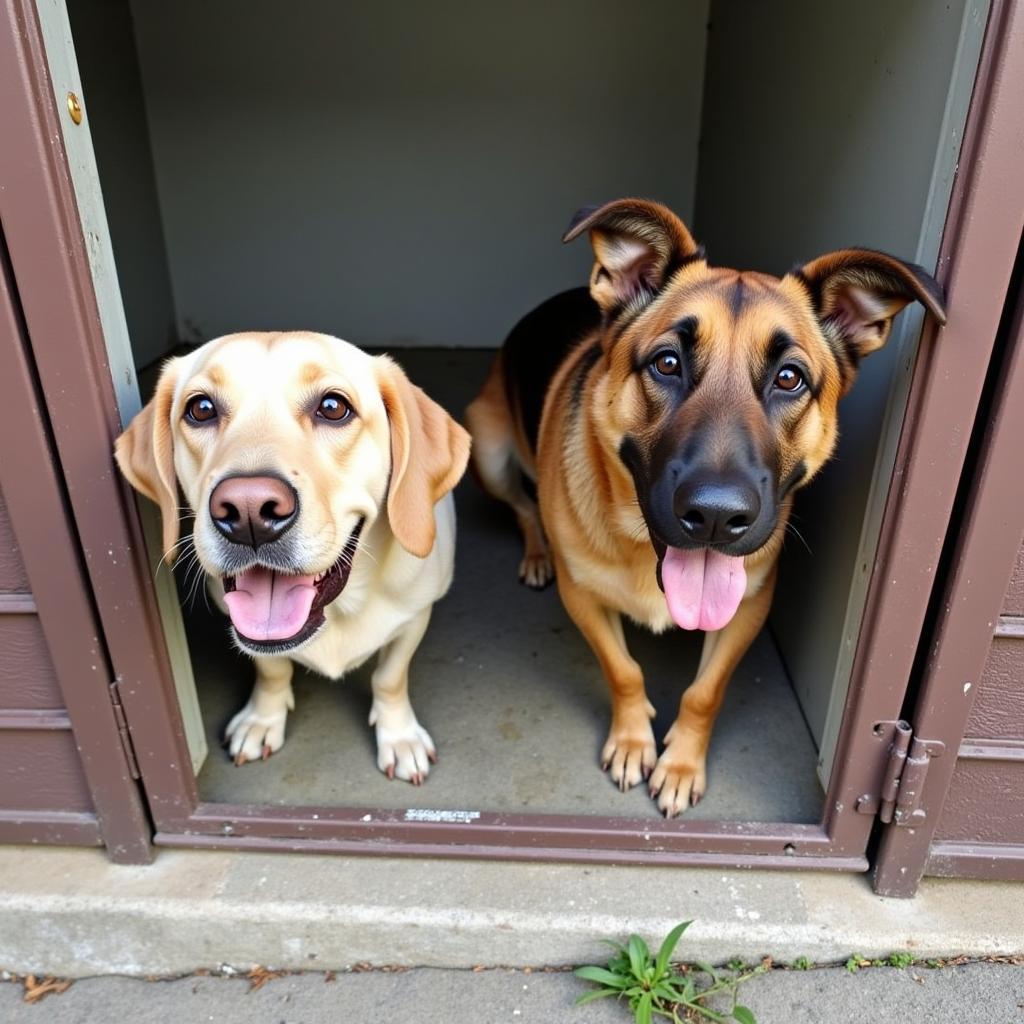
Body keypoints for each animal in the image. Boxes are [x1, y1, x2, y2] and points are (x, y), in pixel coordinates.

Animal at [115, 331, 468, 778]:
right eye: (201, 408)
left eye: (333, 407)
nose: (248, 511)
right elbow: (272, 667)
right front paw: (262, 719)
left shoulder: (414, 618)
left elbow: (389, 677)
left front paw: (399, 736)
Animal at [464, 197, 942, 815]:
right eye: (667, 363)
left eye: (790, 378)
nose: (717, 516)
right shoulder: (583, 599)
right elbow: (623, 671)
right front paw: (632, 740)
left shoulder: (749, 608)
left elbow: (703, 693)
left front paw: (681, 764)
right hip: (488, 447)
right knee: (523, 507)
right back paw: (536, 554)